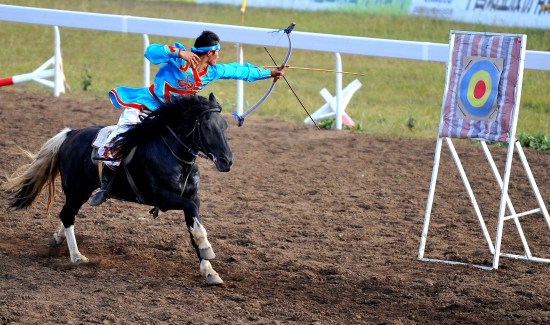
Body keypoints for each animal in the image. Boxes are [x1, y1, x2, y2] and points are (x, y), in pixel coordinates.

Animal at [7, 93, 235, 284]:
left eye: (224, 126)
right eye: (206, 127)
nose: (227, 161)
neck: (171, 153)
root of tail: (70, 134)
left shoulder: (192, 198)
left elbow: (194, 226)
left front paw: (209, 271)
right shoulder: (163, 198)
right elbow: (194, 221)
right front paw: (207, 249)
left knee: (66, 216)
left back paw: (57, 239)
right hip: (77, 190)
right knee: (67, 215)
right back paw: (77, 256)